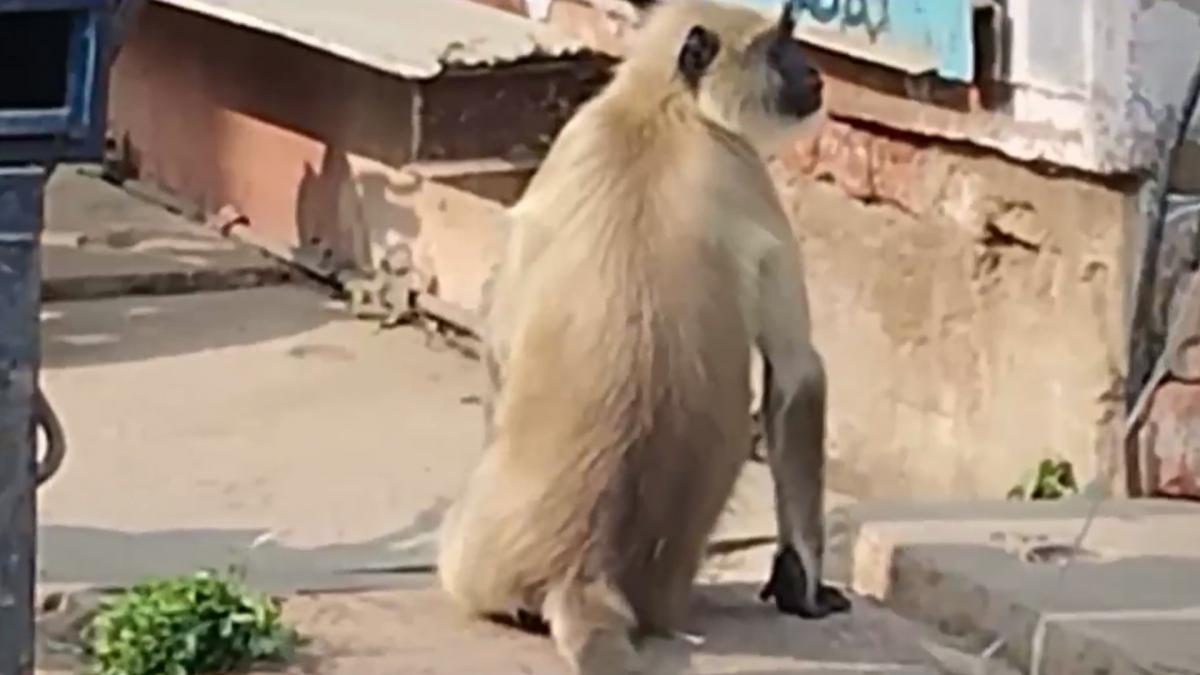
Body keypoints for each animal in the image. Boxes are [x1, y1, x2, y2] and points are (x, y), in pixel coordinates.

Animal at [437, 1, 849, 672]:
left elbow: (795, 371)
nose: (812, 72)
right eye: (778, 47)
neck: (665, 109)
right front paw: (802, 587)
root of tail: (584, 573)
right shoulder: (744, 170)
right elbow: (797, 371)